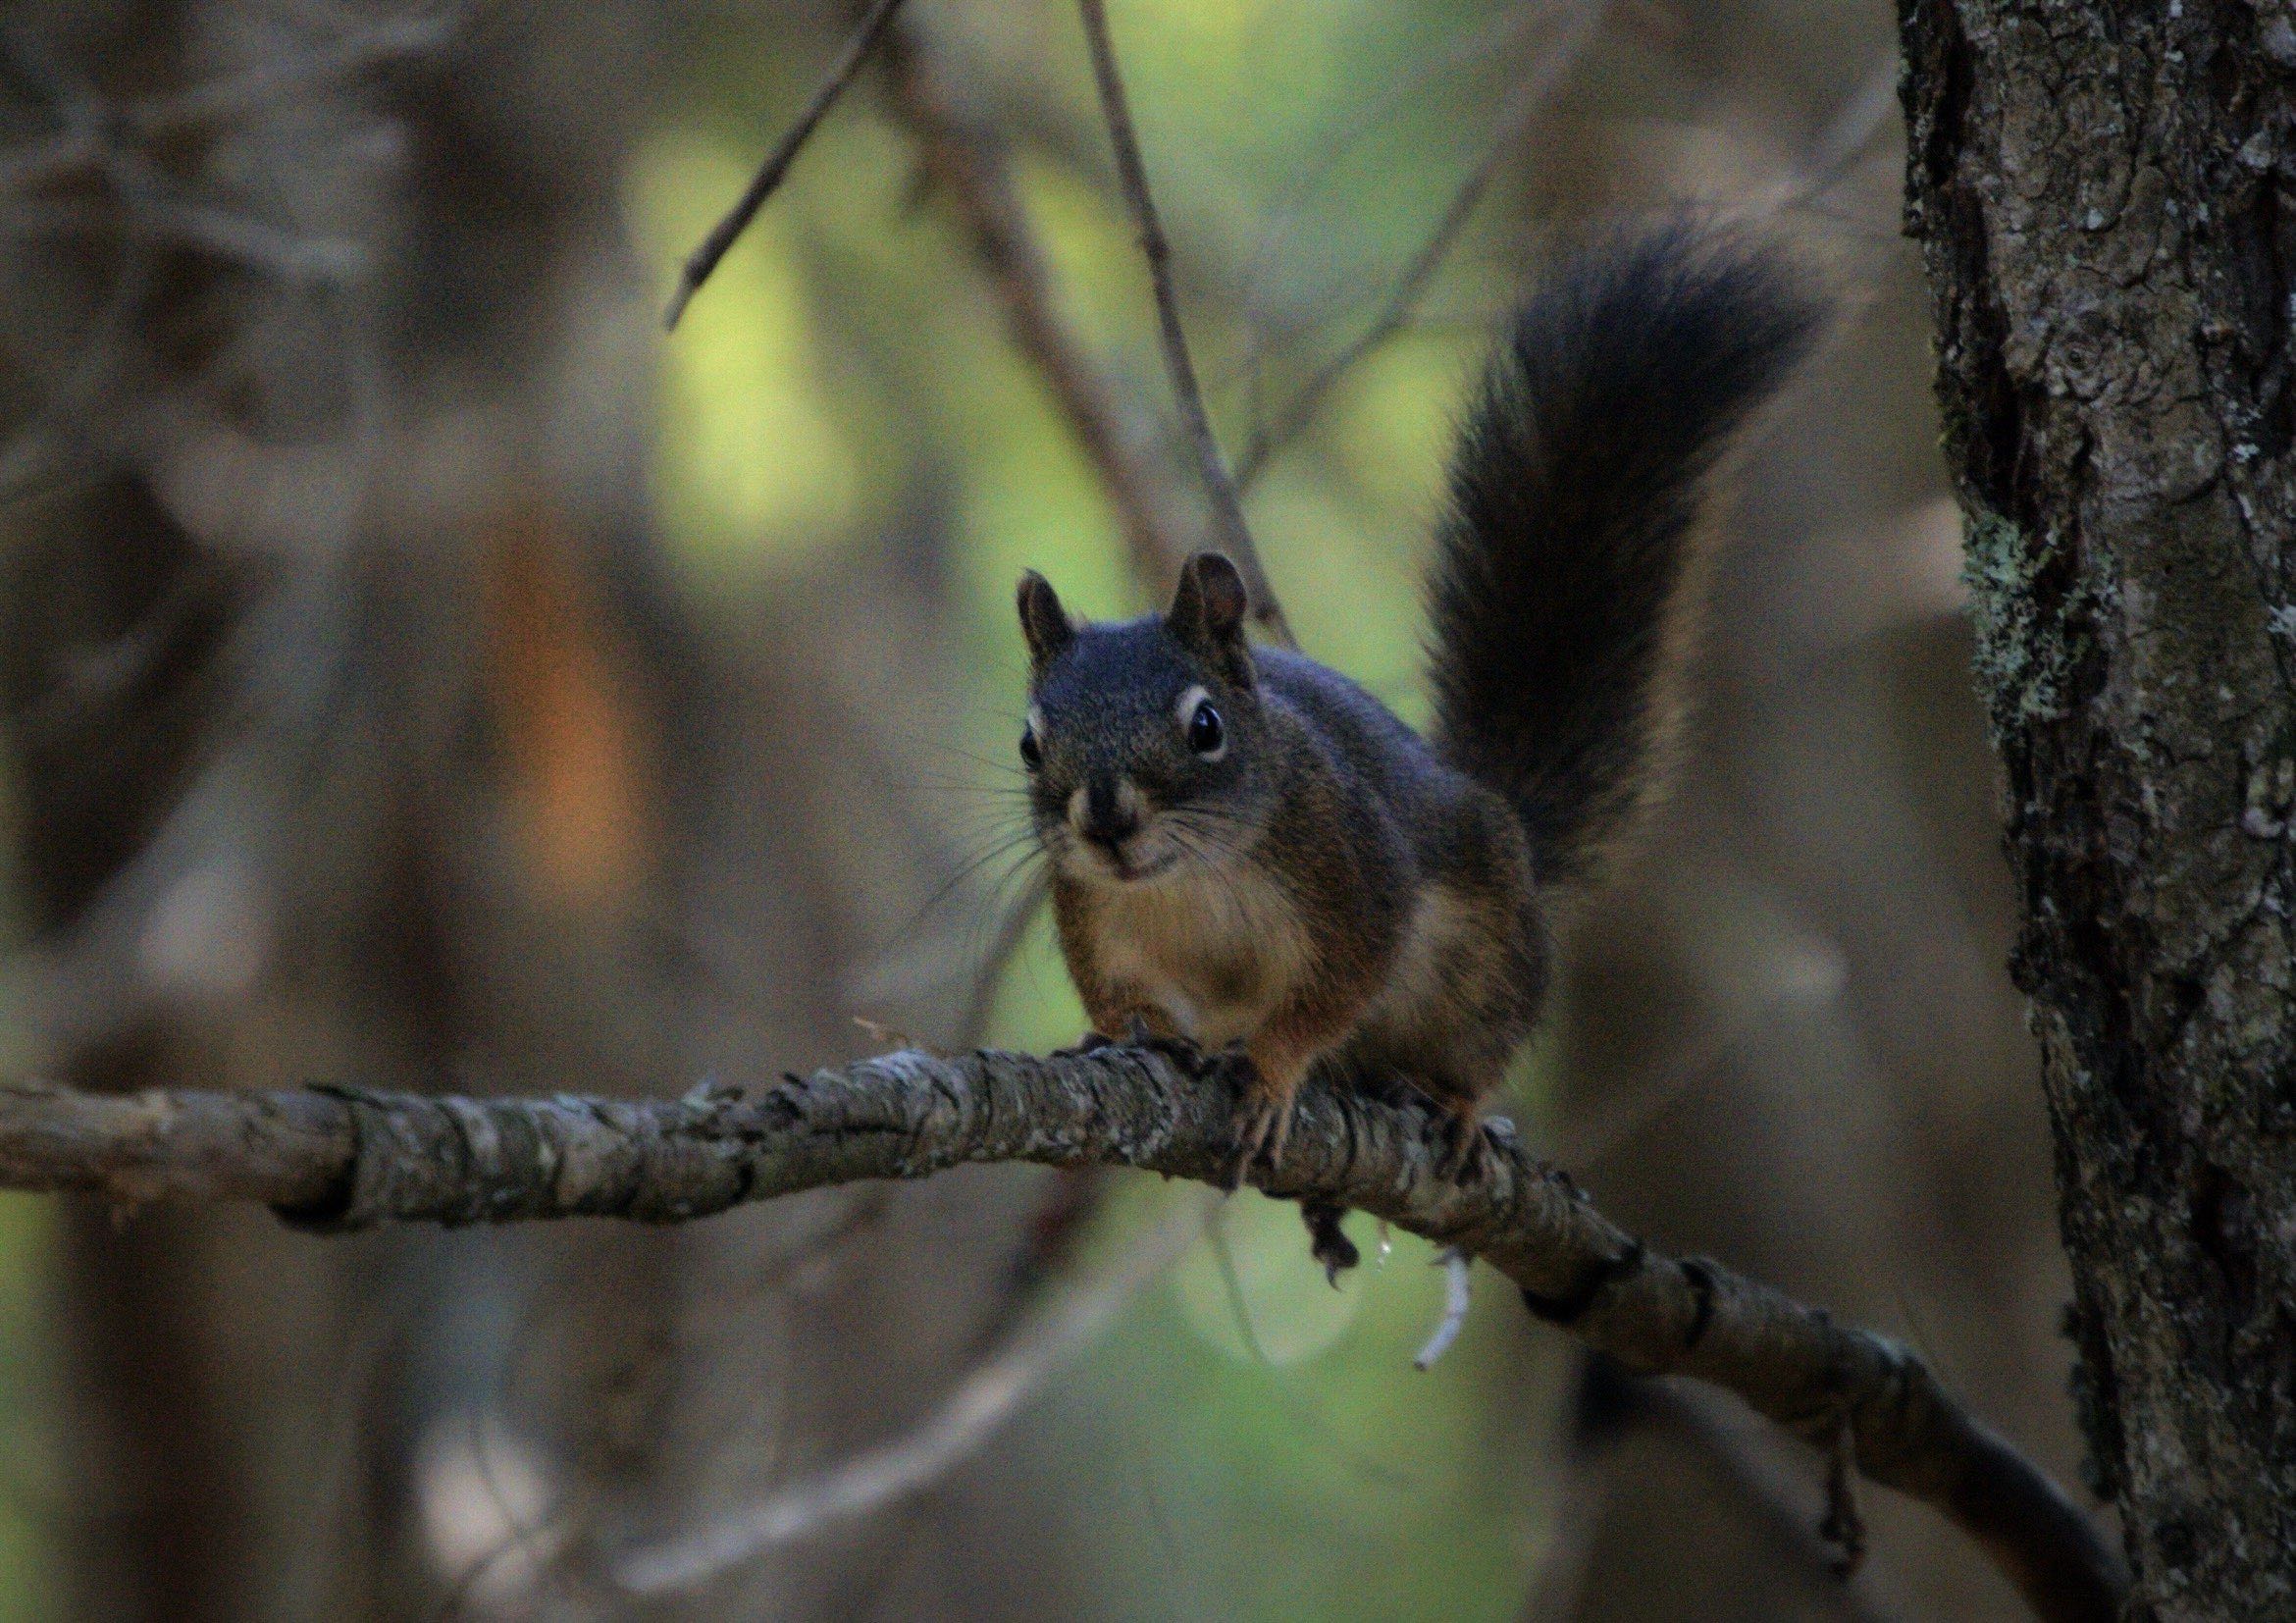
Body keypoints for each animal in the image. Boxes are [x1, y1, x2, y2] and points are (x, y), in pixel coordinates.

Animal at [1012, 224, 1820, 1246]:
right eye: (1031, 744)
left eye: (1205, 726)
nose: (1108, 823)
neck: (1189, 882)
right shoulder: (1096, 917)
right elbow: (1116, 991)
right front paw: (1127, 1030)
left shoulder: (1356, 878)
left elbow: (1332, 990)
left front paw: (1272, 1072)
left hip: (1486, 967)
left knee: (1476, 1046)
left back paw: (1458, 1108)